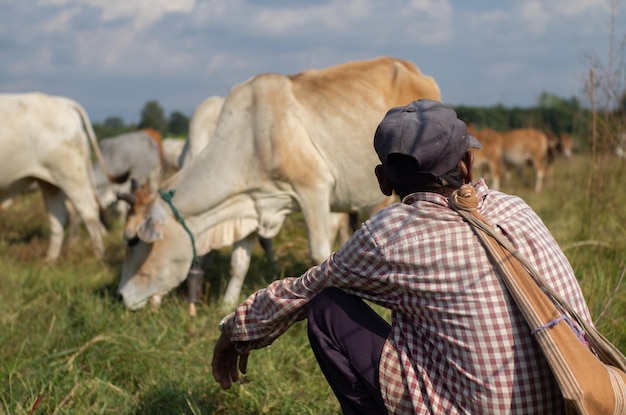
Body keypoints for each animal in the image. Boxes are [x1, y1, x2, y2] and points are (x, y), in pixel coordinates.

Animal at [0, 92, 127, 262]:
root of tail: (62, 102)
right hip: (50, 183)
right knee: (58, 218)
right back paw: (49, 261)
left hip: (72, 177)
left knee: (88, 212)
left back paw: (98, 255)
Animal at [116, 56, 438, 308]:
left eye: (133, 240)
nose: (120, 296)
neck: (252, 139)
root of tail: (417, 73)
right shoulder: (251, 202)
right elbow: (238, 263)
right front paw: (228, 303)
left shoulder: (314, 191)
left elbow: (319, 255)